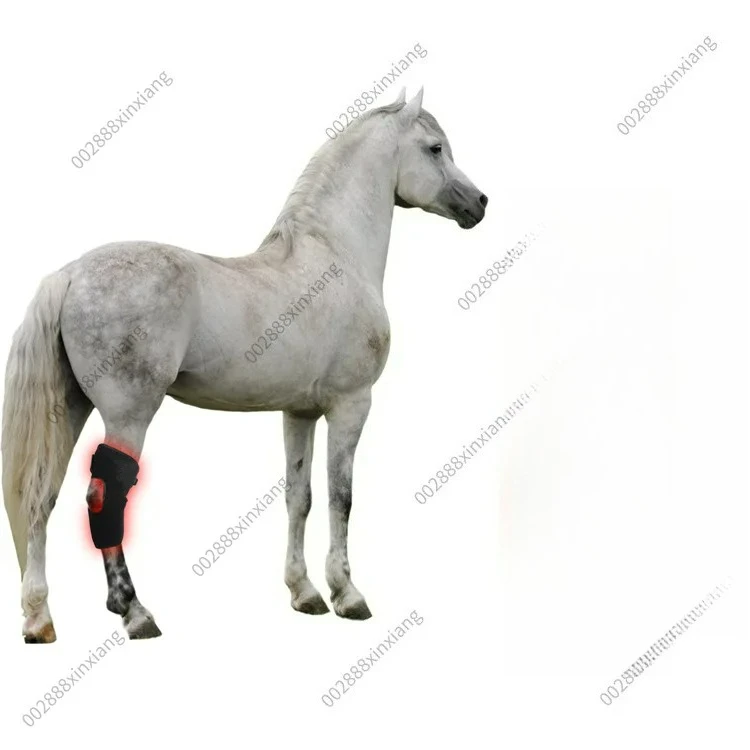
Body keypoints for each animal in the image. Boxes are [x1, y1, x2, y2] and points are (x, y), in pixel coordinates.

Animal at [2, 88, 487, 642]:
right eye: (435, 148)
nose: (479, 203)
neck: (334, 257)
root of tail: (69, 275)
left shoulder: (300, 412)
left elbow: (299, 496)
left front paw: (304, 593)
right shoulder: (351, 405)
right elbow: (341, 496)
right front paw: (347, 594)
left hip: (70, 409)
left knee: (40, 495)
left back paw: (39, 618)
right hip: (128, 414)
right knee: (104, 496)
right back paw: (134, 610)